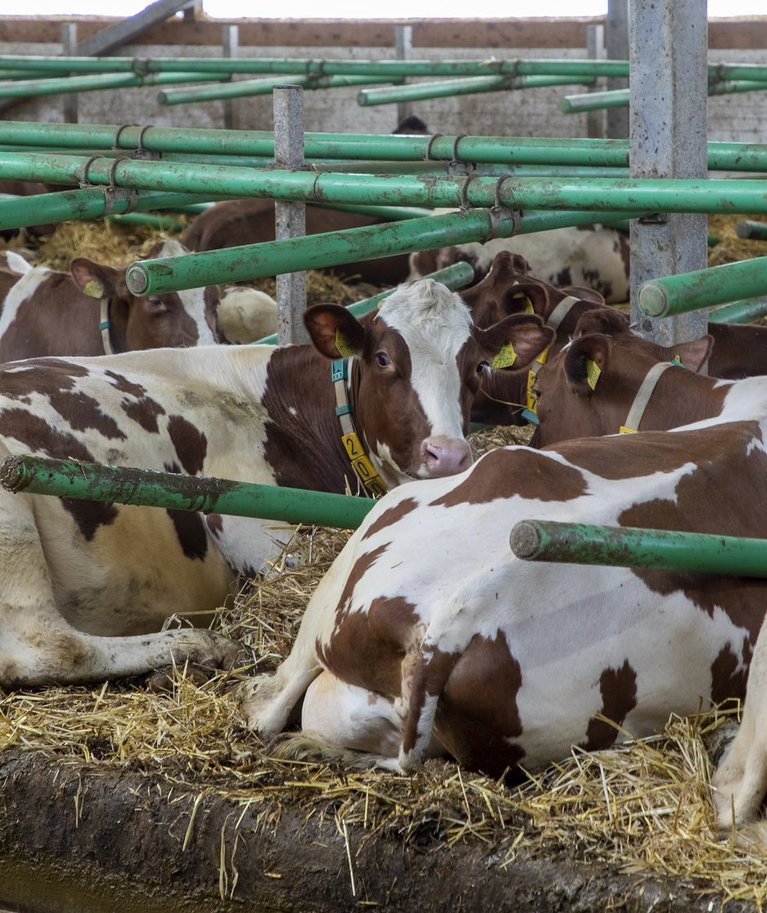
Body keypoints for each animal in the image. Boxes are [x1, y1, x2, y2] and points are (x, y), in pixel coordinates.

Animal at [0, 282, 556, 688]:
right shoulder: (250, 527)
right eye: (383, 359)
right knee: (47, 645)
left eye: (477, 365)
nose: (450, 455)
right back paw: (199, 647)